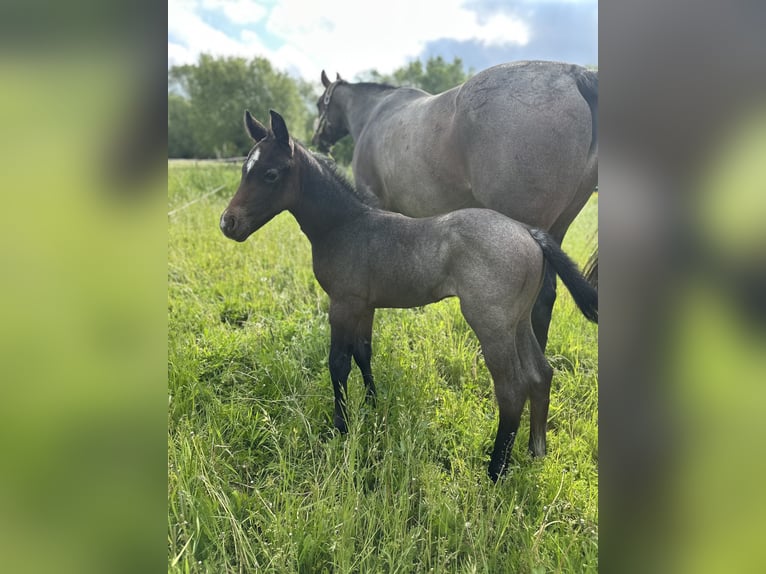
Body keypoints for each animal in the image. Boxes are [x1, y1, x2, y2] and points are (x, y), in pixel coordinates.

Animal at [220, 110, 597, 481]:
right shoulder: (365, 306)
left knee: (512, 387)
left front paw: (341, 426)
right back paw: (536, 452)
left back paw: (495, 470)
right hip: (518, 322)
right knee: (541, 374)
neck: (345, 225)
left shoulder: (342, 304)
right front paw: (373, 406)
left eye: (270, 174)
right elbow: (363, 353)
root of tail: (529, 232)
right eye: (244, 170)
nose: (228, 223)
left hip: (492, 325)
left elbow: (338, 363)